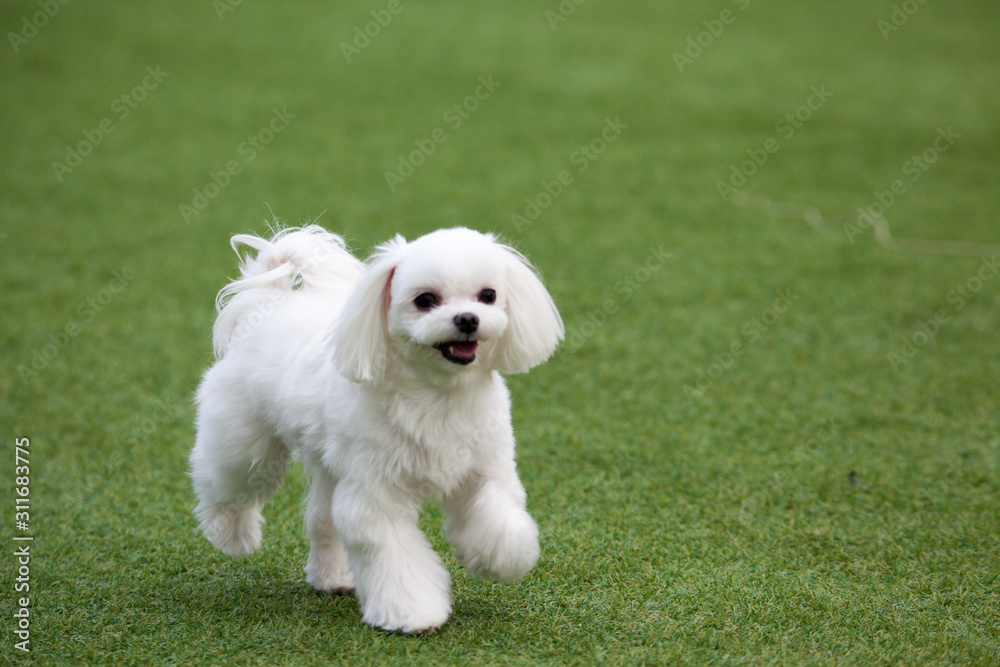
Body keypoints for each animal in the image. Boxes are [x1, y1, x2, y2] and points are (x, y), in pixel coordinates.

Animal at [188, 226, 564, 636]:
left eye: (489, 295)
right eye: (425, 300)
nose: (467, 319)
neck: (438, 395)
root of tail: (268, 304)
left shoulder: (484, 469)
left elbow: (499, 519)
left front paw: (497, 560)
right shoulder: (377, 494)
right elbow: (396, 558)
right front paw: (413, 614)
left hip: (331, 467)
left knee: (321, 520)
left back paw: (333, 577)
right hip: (245, 440)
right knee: (223, 482)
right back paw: (232, 535)